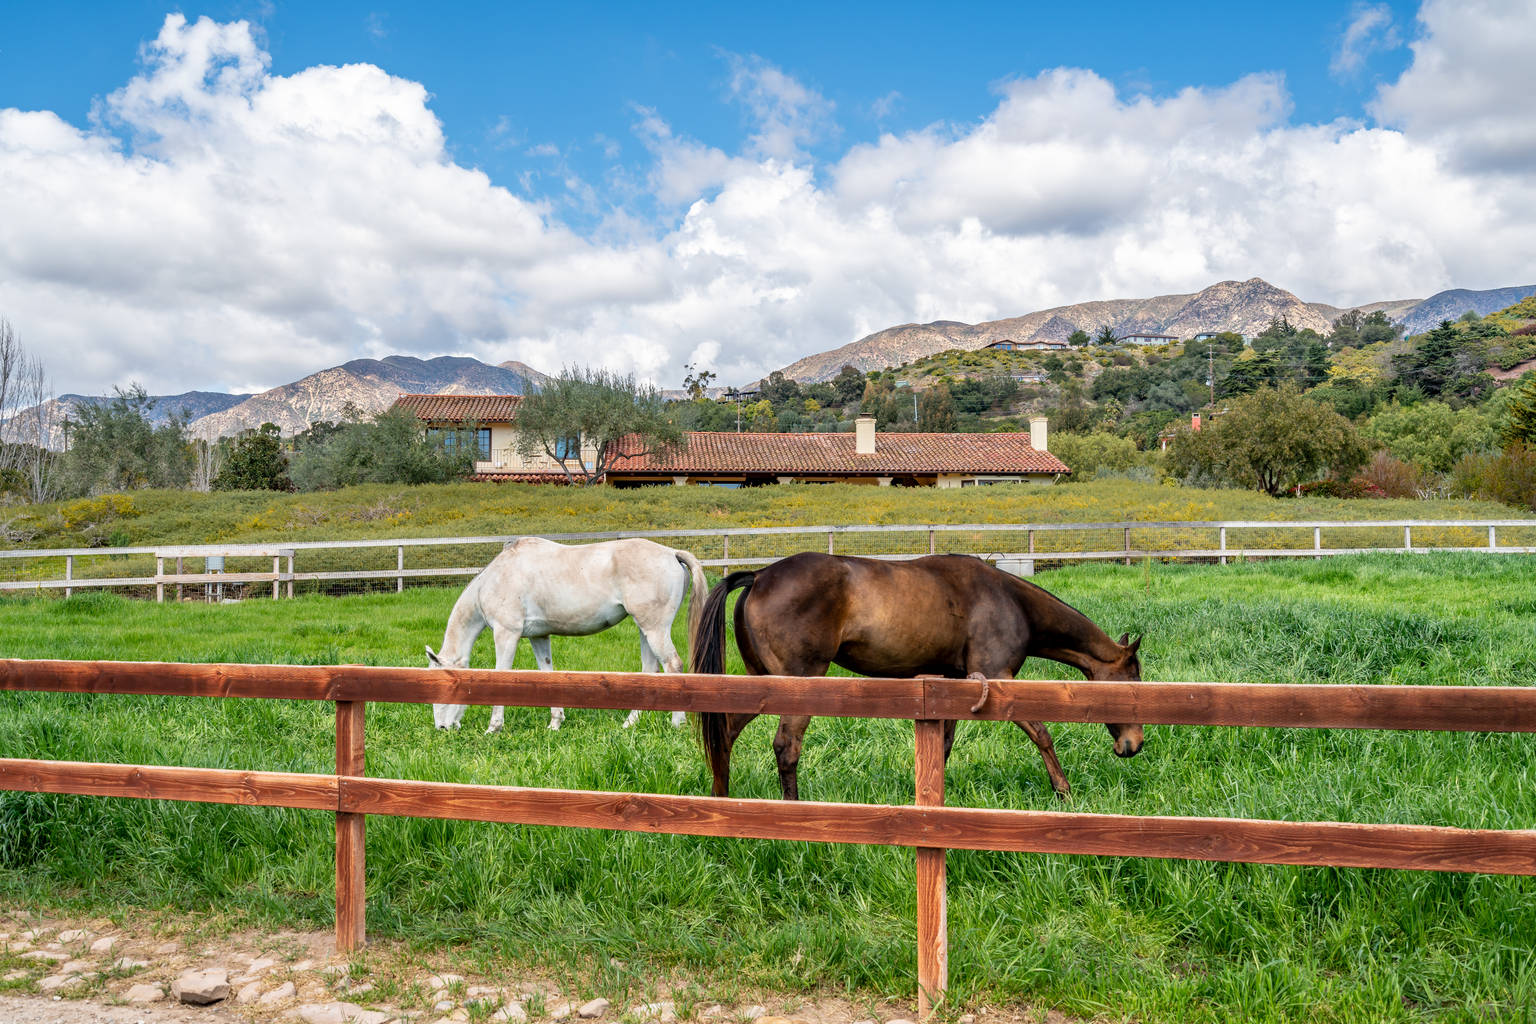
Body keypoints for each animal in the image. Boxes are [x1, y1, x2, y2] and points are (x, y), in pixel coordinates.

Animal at [423, 540, 703, 733]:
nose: (442, 728)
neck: (496, 578)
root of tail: (671, 553)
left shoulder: (506, 634)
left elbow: (501, 676)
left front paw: (494, 727)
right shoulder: (539, 636)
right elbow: (547, 674)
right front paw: (555, 723)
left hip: (655, 629)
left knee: (673, 666)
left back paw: (676, 722)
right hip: (645, 630)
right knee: (649, 671)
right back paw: (630, 723)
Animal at [691, 552, 1148, 798]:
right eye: (1134, 685)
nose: (1133, 746)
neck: (1010, 600)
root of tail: (759, 576)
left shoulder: (953, 684)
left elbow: (941, 747)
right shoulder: (997, 676)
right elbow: (1041, 733)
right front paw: (1063, 790)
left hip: (759, 683)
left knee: (725, 733)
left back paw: (722, 799)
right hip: (798, 687)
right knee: (786, 748)